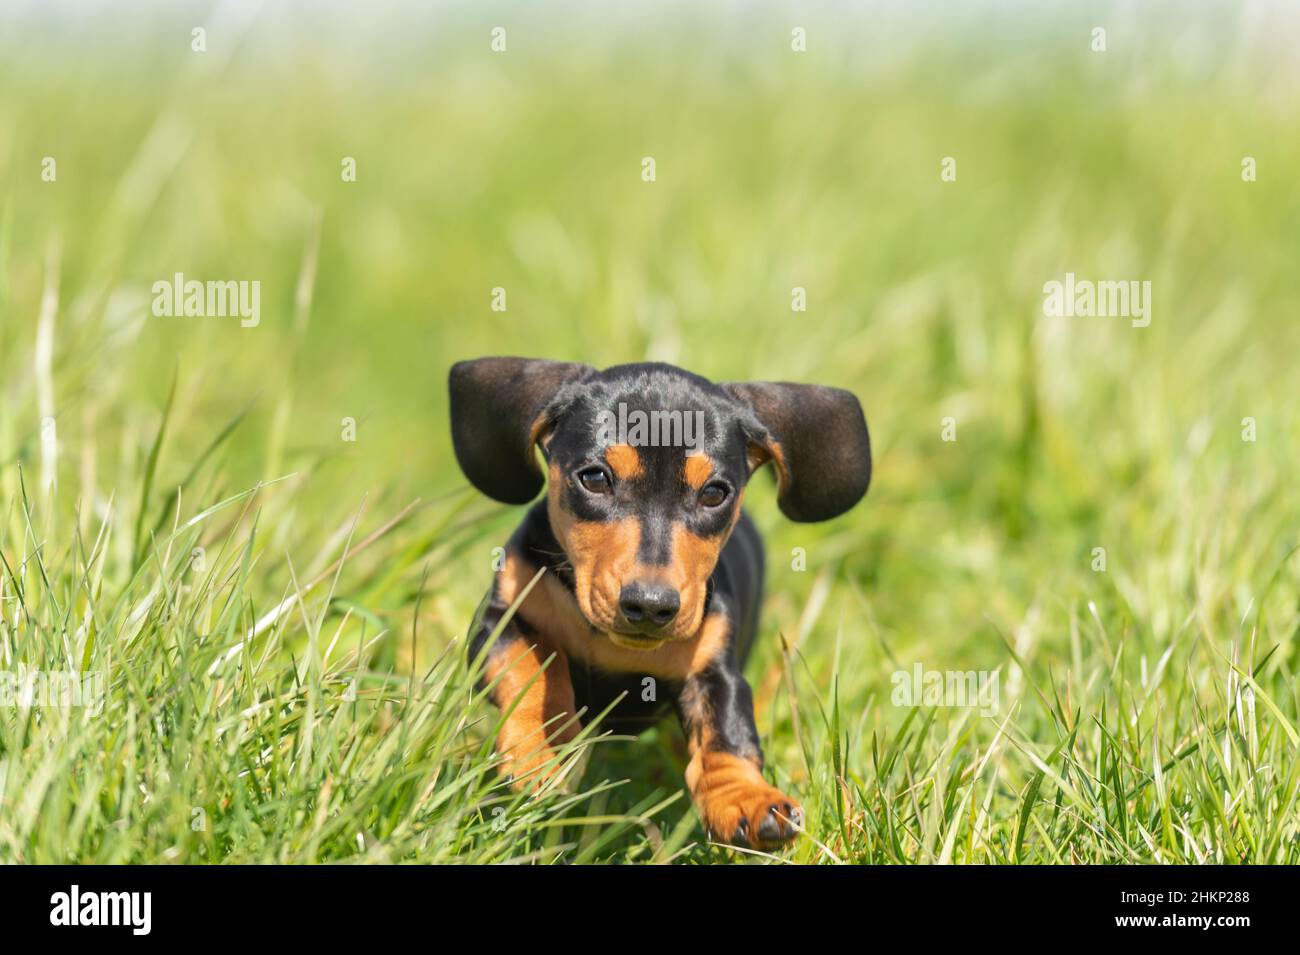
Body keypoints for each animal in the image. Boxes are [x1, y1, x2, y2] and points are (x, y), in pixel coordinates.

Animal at [449, 358, 873, 852]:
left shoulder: (714, 669)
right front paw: (545, 747)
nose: (651, 607)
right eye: (595, 478)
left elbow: (727, 734)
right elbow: (534, 667)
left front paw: (744, 798)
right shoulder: (501, 621)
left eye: (714, 493)